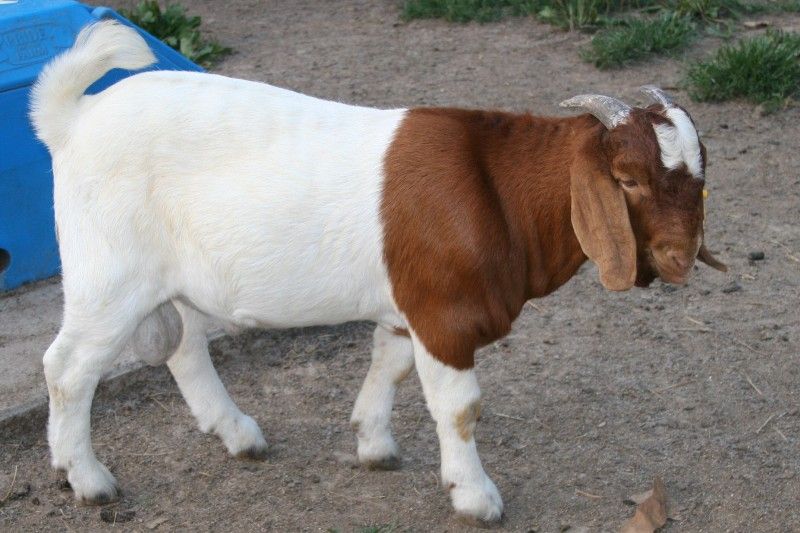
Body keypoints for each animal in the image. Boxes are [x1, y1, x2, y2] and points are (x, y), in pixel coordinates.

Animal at [31, 21, 726, 522]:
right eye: (628, 179)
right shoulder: (446, 315)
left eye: (701, 178)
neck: (499, 188)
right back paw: (87, 479)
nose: (679, 258)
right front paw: (475, 497)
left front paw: (372, 443)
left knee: (182, 346)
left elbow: (387, 364)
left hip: (168, 282)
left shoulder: (409, 306)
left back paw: (238, 434)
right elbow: (460, 408)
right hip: (109, 278)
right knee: (68, 368)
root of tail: (73, 119)